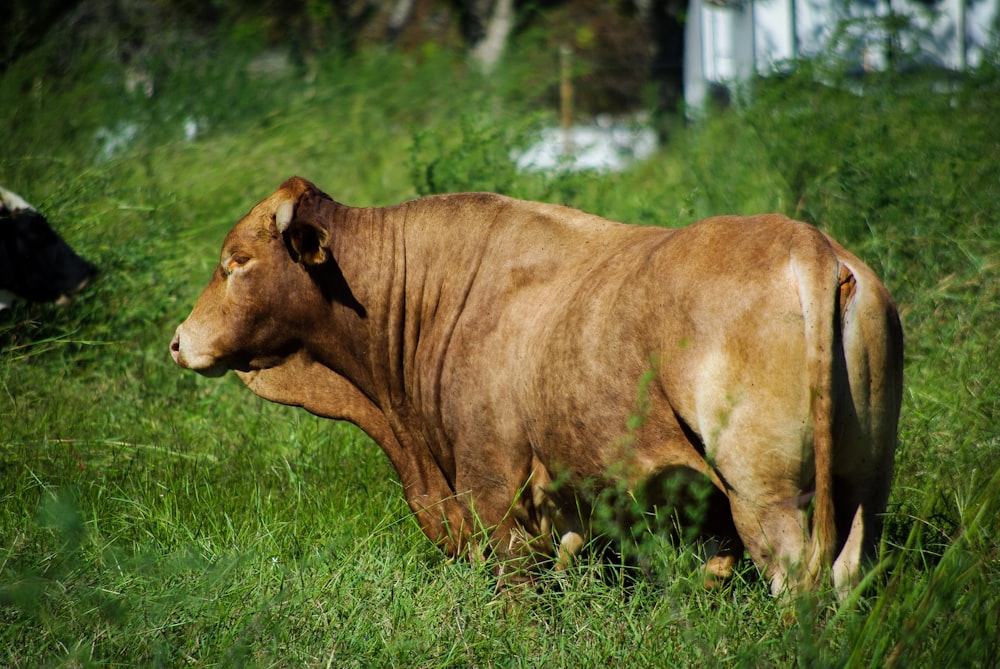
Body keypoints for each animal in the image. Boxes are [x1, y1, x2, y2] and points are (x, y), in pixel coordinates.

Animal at [168, 177, 904, 596]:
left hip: (764, 494)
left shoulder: (494, 487)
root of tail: (807, 242)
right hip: (864, 487)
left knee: (797, 579)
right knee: (846, 571)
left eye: (236, 261)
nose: (179, 339)